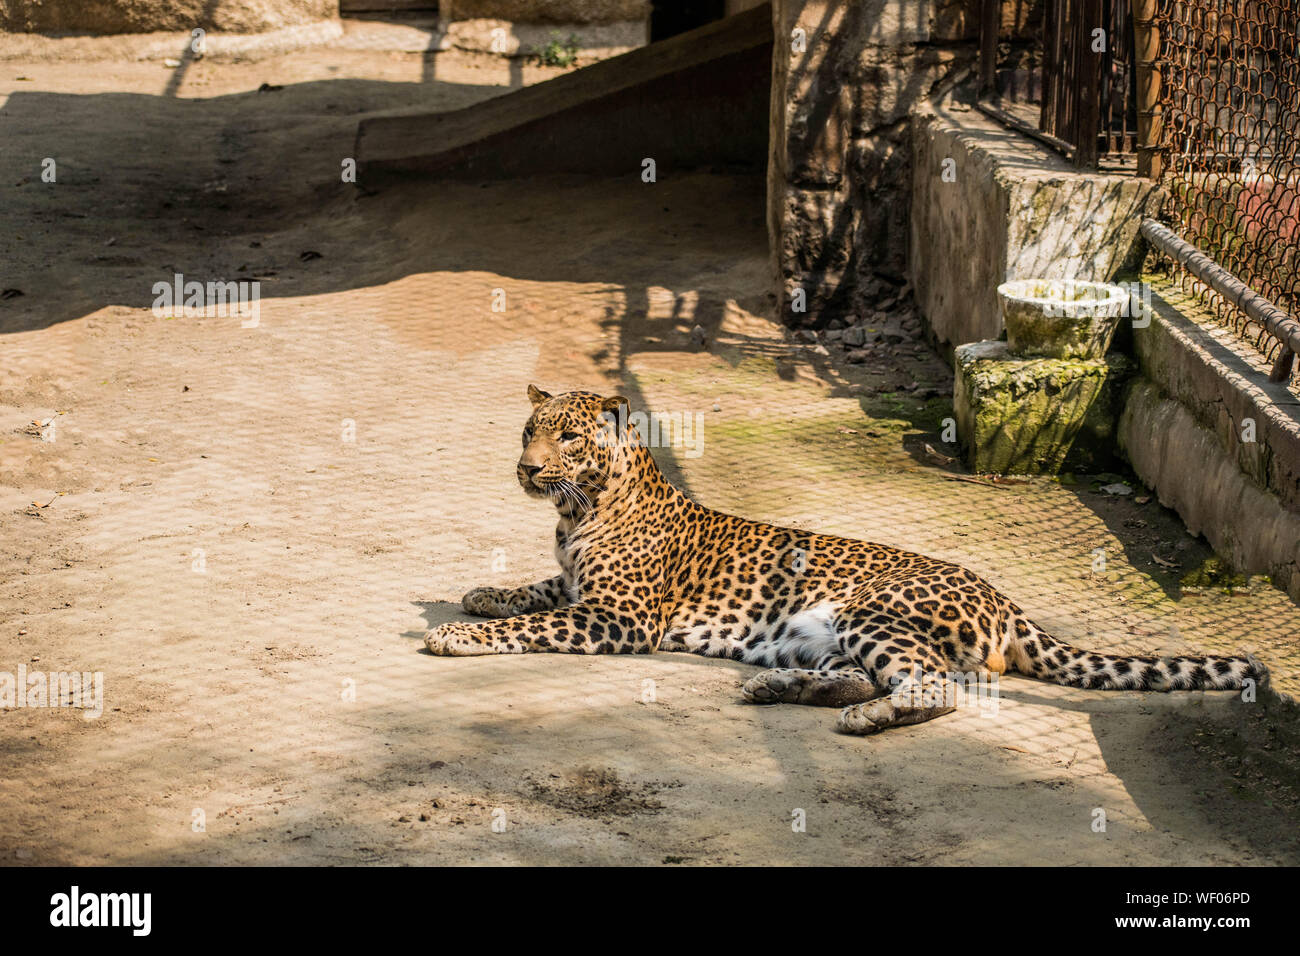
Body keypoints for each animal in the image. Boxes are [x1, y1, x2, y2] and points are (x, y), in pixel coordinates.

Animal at [426, 385, 1268, 738]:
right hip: (827, 633)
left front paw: (456, 635)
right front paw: (480, 593)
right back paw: (781, 687)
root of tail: (1010, 603)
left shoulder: (619, 619)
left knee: (935, 688)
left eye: (568, 437)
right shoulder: (579, 587)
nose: (528, 469)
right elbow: (536, 591)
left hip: (872, 609)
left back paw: (862, 717)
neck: (578, 511)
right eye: (529, 430)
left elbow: (535, 625)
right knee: (878, 675)